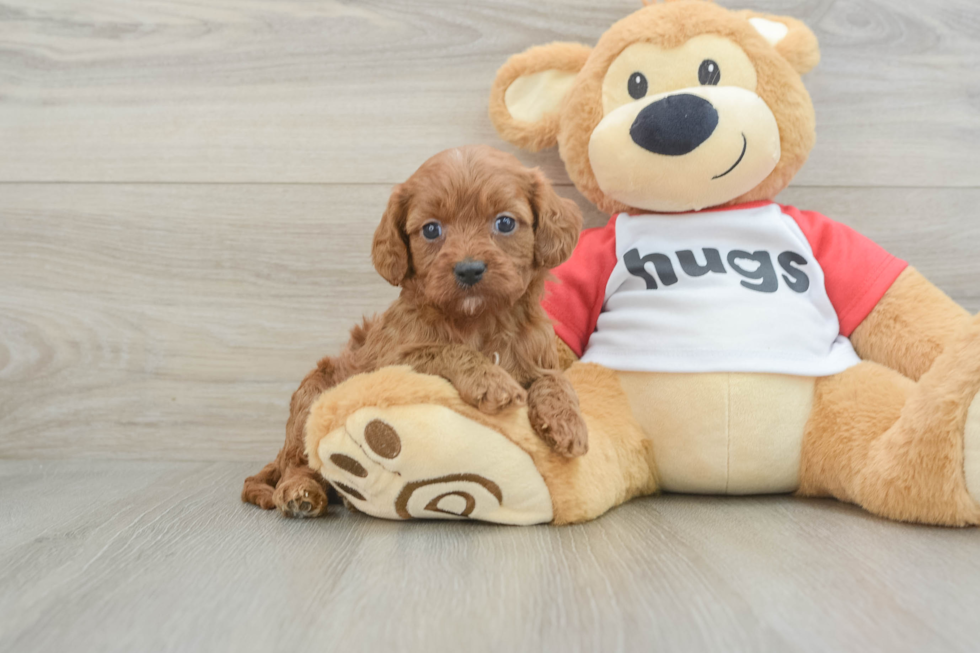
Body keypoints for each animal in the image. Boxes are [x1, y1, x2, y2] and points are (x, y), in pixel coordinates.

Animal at [241, 145, 584, 516]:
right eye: (431, 230)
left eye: (505, 222)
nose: (469, 269)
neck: (477, 319)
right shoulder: (387, 361)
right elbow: (444, 349)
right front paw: (491, 382)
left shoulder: (537, 354)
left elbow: (555, 379)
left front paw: (568, 422)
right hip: (311, 396)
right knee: (298, 461)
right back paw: (300, 492)